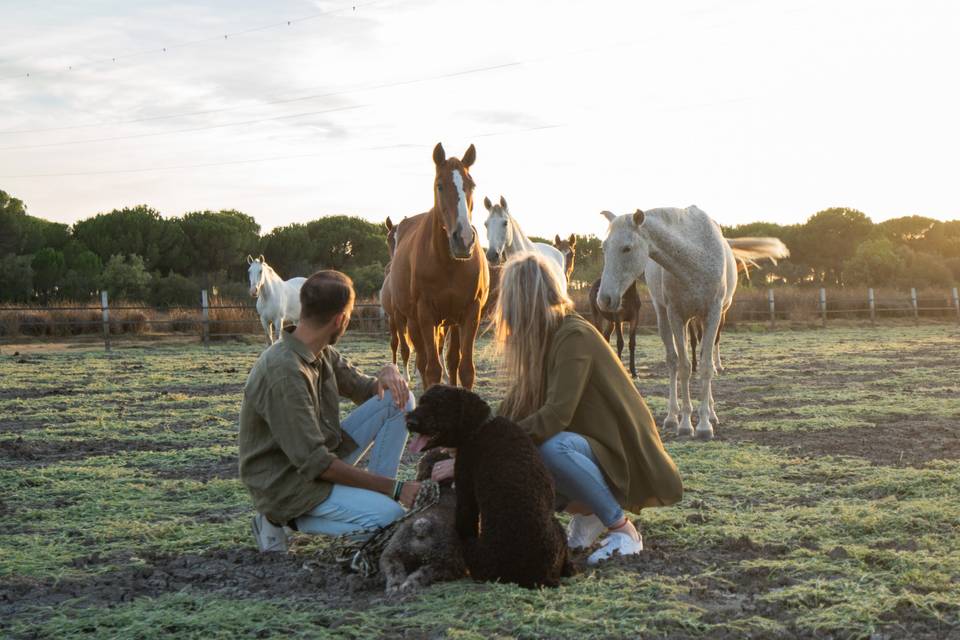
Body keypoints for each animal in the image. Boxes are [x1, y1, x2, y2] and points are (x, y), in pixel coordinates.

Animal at [386, 142, 488, 388]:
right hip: (413, 321)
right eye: (439, 186)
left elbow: (465, 369)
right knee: (421, 361)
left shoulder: (471, 313)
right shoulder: (425, 315)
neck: (449, 264)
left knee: (451, 361)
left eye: (471, 185)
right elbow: (432, 370)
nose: (464, 239)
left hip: (450, 322)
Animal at [404, 382, 568, 588]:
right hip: (559, 529)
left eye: (439, 406)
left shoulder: (465, 488)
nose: (410, 422)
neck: (480, 428)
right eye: (422, 401)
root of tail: (542, 577)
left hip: (475, 551)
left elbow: (465, 518)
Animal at [596, 205, 792, 440]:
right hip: (665, 315)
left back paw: (712, 413)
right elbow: (683, 367)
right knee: (672, 361)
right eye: (604, 248)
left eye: (627, 248)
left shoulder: (713, 314)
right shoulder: (676, 315)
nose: (604, 299)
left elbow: (706, 366)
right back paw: (673, 417)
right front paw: (685, 423)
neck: (694, 258)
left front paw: (705, 425)